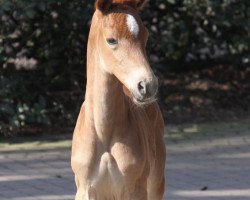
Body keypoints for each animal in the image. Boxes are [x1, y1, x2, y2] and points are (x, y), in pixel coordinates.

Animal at [71, 0, 166, 199]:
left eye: (146, 36)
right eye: (111, 40)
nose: (148, 86)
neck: (103, 132)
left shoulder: (135, 189)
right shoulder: (85, 189)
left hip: (156, 182)